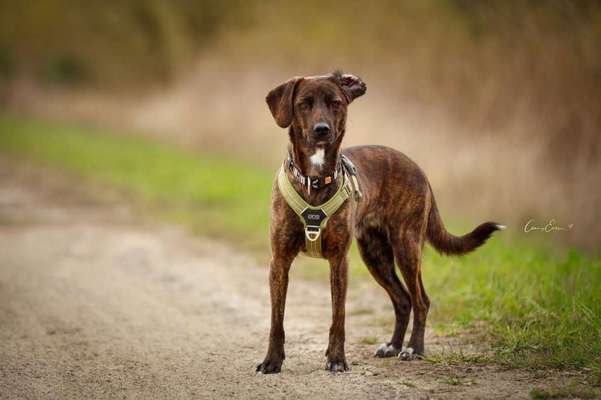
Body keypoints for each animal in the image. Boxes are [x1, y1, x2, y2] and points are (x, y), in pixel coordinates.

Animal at [254, 70, 502, 374]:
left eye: (336, 103)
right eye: (304, 104)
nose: (322, 129)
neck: (313, 179)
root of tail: (420, 170)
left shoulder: (339, 261)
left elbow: (339, 316)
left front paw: (336, 359)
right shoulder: (279, 260)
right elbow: (276, 320)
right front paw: (272, 361)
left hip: (406, 246)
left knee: (421, 299)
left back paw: (413, 349)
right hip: (376, 255)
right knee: (403, 299)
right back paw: (393, 345)